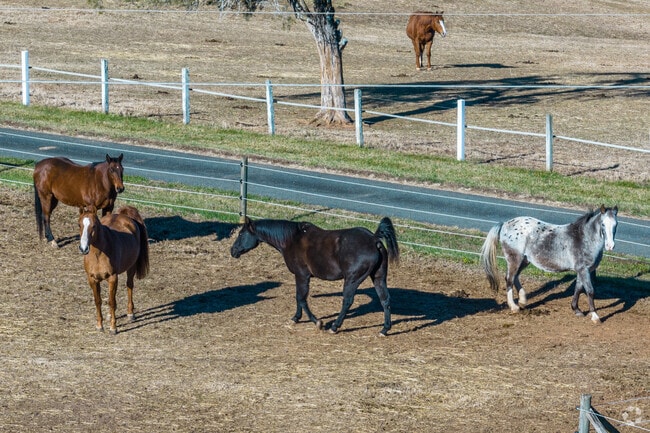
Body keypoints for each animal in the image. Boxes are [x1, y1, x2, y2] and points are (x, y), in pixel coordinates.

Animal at [78, 205, 149, 334]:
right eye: (79, 225)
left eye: (94, 225)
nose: (83, 248)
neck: (99, 254)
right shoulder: (92, 279)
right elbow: (98, 301)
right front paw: (100, 325)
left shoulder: (112, 277)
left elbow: (112, 302)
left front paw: (113, 328)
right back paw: (109, 315)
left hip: (131, 268)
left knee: (129, 286)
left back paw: (130, 313)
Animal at [230, 217, 400, 336]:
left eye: (241, 233)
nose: (233, 251)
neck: (292, 239)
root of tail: (375, 239)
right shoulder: (300, 277)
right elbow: (299, 297)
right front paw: (296, 318)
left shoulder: (302, 275)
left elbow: (301, 298)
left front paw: (317, 322)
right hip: (378, 277)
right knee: (385, 300)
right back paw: (384, 330)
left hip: (352, 280)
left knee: (347, 301)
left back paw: (334, 327)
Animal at [479, 205, 618, 323]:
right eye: (603, 224)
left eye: (615, 224)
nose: (610, 246)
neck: (584, 238)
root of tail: (504, 224)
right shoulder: (584, 270)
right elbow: (589, 291)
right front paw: (595, 317)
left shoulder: (582, 271)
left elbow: (578, 289)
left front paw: (577, 310)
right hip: (514, 259)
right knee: (509, 279)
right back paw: (514, 307)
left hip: (524, 260)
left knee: (514, 278)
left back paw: (523, 300)